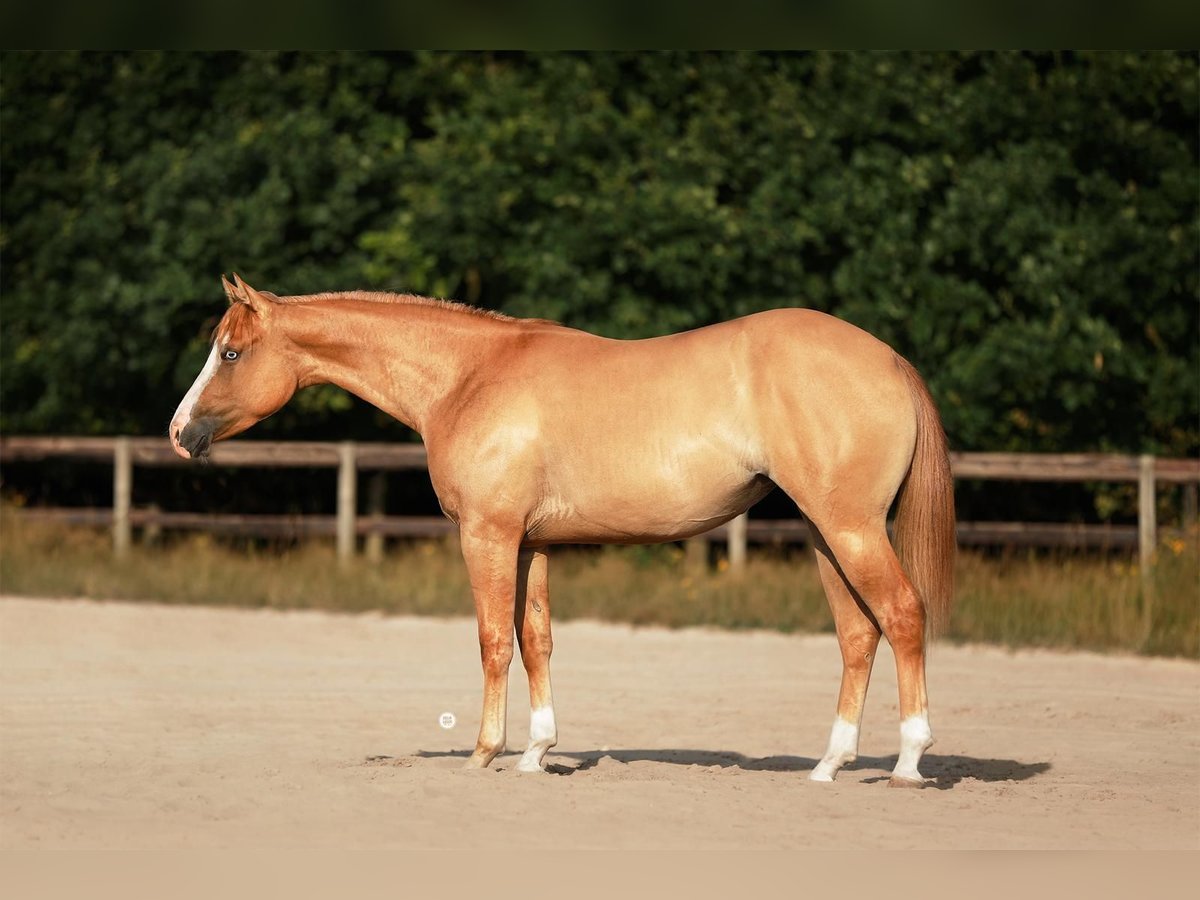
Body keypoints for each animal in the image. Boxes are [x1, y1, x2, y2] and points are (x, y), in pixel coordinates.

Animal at [170, 274, 955, 786]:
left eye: (230, 353)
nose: (180, 434)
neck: (468, 377)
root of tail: (888, 358)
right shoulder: (533, 544)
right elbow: (536, 640)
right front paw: (535, 753)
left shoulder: (487, 536)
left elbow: (493, 640)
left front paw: (485, 752)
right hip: (827, 534)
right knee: (859, 636)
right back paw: (829, 764)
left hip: (850, 530)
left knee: (902, 616)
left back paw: (909, 762)